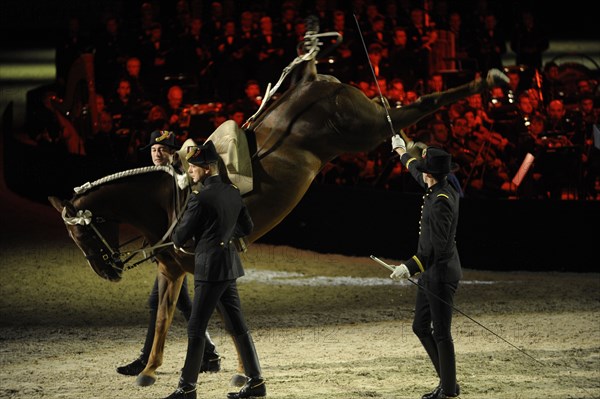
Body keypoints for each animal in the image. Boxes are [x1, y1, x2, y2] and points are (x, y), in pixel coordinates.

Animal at [49, 47, 506, 388]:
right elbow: (178, 315)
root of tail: (315, 82)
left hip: (364, 129)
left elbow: (193, 317)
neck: (170, 199)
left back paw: (488, 84)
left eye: (81, 234)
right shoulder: (178, 267)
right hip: (365, 126)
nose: (108, 271)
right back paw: (415, 146)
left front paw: (189, 370)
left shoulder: (196, 265)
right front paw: (163, 368)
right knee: (397, 113)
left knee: (417, 106)